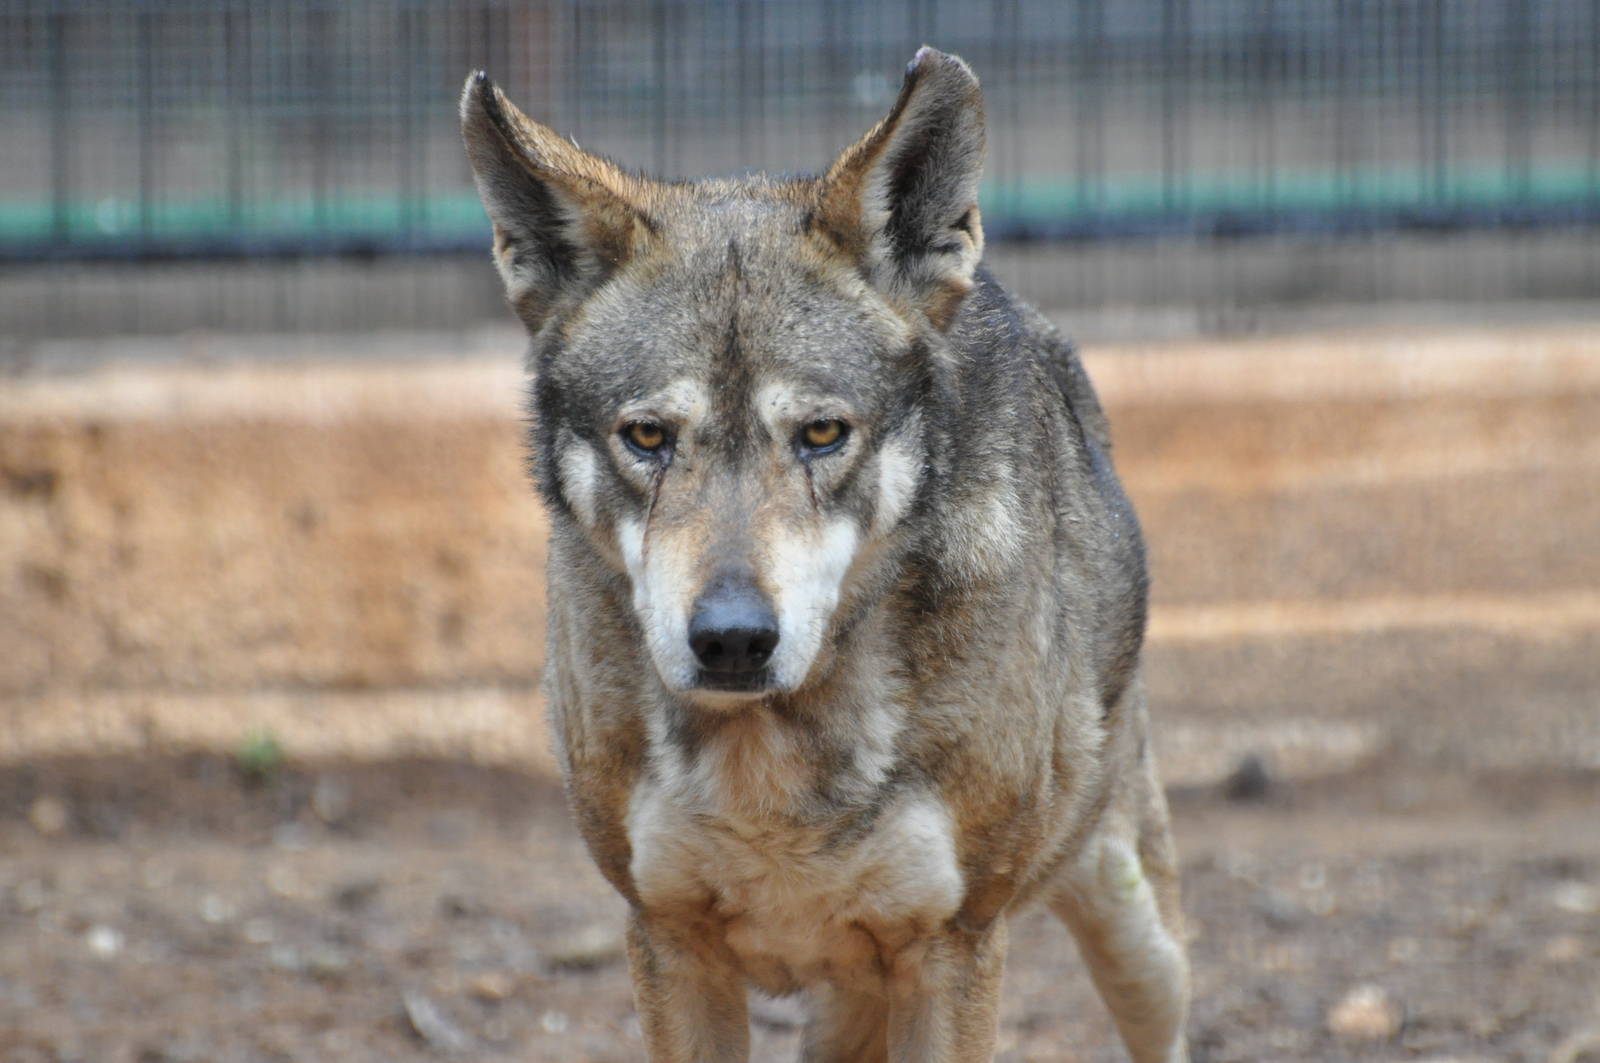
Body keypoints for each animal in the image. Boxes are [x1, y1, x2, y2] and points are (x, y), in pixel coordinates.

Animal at [460, 47, 1189, 1063]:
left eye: (820, 434)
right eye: (647, 437)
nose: (731, 638)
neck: (773, 764)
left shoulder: (953, 947)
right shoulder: (666, 939)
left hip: (1131, 928)